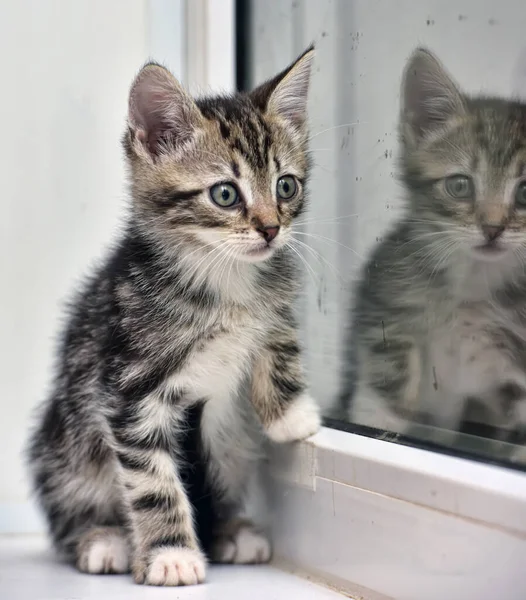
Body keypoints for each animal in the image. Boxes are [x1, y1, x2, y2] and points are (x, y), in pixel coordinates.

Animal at [27, 45, 322, 584]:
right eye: (225, 193)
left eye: (286, 186)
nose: (271, 229)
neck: (221, 278)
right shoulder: (128, 389)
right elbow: (152, 482)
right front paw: (171, 554)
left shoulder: (275, 296)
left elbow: (278, 338)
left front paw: (291, 417)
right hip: (64, 446)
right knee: (68, 510)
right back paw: (102, 539)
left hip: (229, 447)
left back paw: (231, 531)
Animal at [342, 48, 526, 440]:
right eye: (460, 185)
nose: (492, 229)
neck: (474, 281)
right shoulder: (383, 293)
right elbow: (388, 359)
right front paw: (382, 418)